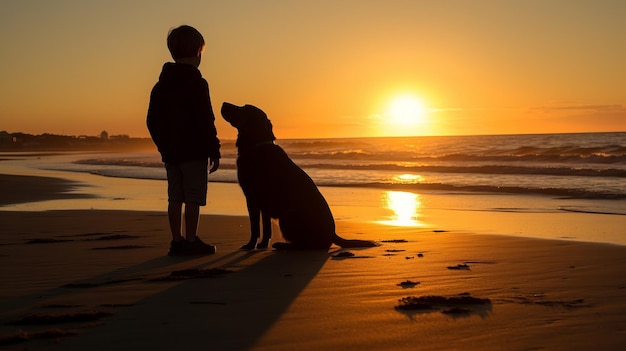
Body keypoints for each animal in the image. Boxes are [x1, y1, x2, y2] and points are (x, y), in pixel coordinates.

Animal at [219, 102, 376, 250]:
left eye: (244, 108)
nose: (224, 103)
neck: (257, 144)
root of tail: (332, 235)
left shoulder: (252, 197)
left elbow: (255, 227)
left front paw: (250, 245)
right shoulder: (262, 202)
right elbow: (266, 227)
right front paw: (262, 244)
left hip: (288, 215)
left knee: (306, 245)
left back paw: (283, 246)